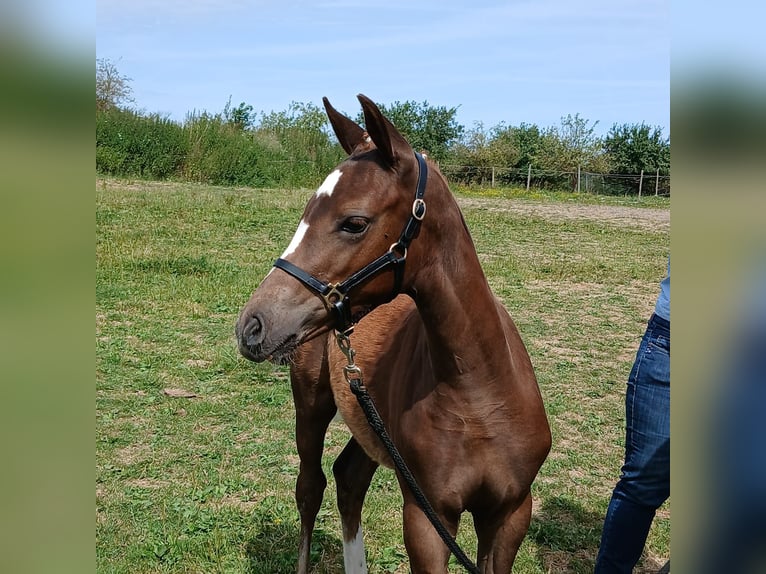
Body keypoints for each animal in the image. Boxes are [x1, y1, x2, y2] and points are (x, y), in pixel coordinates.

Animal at [236, 94, 551, 573]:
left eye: (354, 222)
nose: (252, 325)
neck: (478, 392)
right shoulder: (426, 518)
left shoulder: (511, 513)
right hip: (311, 405)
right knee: (310, 488)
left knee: (348, 478)